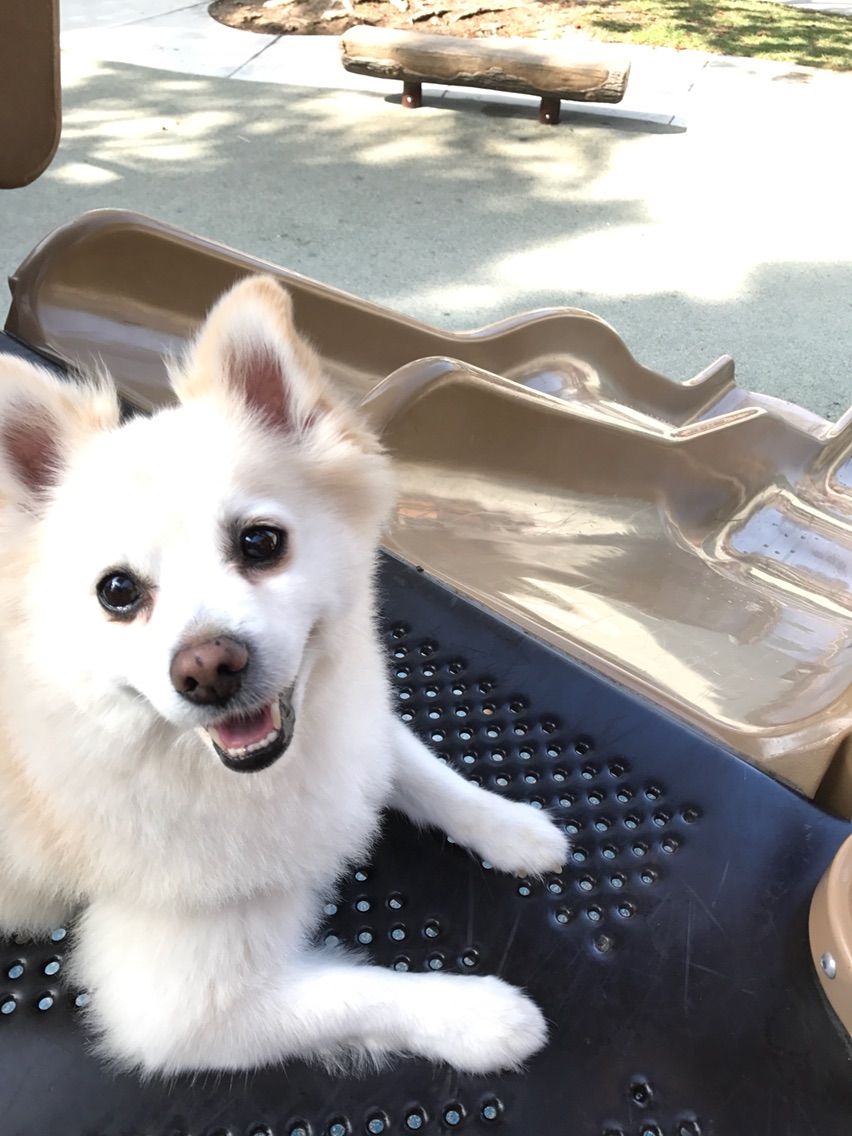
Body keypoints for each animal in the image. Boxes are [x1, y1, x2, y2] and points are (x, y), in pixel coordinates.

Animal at [0, 276, 567, 1075]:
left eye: (260, 542)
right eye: (118, 592)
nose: (208, 667)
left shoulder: (356, 725)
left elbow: (422, 769)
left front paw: (512, 826)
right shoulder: (181, 1011)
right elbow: (361, 993)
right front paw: (486, 1017)